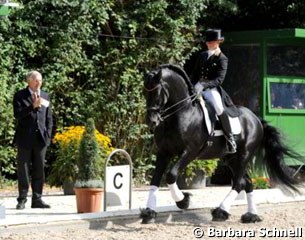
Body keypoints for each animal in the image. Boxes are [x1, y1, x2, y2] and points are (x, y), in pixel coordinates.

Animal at [140, 63, 302, 223]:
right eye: (144, 92)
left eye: (157, 92)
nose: (151, 121)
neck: (181, 114)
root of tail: (256, 119)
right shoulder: (164, 152)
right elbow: (155, 179)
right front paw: (149, 213)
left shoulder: (190, 151)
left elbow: (171, 175)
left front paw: (183, 201)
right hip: (231, 159)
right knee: (247, 183)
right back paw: (251, 216)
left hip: (244, 155)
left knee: (238, 183)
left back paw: (220, 211)